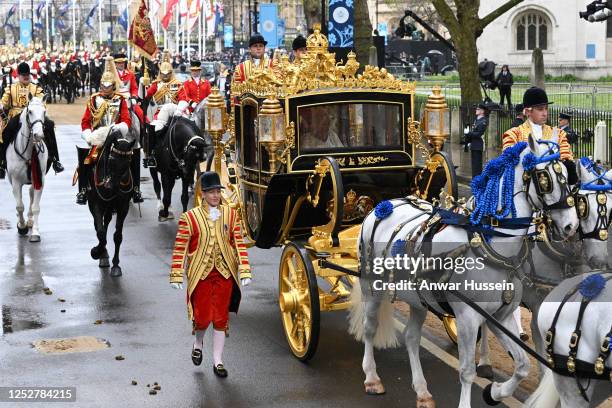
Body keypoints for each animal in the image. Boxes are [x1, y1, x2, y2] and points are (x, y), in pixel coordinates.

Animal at [5, 97, 48, 241]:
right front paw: (21, 226)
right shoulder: (16, 182)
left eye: (44, 112)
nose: (38, 135)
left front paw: (35, 232)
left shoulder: (39, 180)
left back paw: (29, 221)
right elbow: (19, 206)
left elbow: (35, 207)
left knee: (31, 195)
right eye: (30, 111)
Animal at [82, 131, 136, 278]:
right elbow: (100, 233)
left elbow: (117, 236)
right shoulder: (96, 204)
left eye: (128, 162)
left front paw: (116, 265)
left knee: (106, 222)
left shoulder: (123, 206)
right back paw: (102, 254)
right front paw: (96, 252)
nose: (112, 186)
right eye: (111, 159)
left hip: (110, 207)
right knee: (99, 226)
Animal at [350, 135, 580, 408]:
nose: (571, 225)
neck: (490, 247)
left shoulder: (500, 316)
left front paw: (495, 392)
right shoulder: (467, 317)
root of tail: (382, 205)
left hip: (418, 299)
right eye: (545, 178)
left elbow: (522, 365)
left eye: (568, 174)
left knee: (411, 337)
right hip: (371, 286)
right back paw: (371, 377)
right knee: (370, 328)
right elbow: (467, 370)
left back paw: (422, 391)